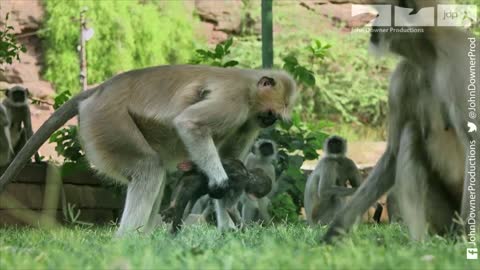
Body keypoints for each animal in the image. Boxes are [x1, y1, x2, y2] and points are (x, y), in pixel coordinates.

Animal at [0, 65, 296, 234]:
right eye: (274, 112)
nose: (270, 121)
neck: (249, 87)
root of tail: (98, 91)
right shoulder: (235, 100)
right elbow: (190, 124)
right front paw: (220, 183)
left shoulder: (249, 118)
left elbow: (230, 163)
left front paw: (227, 228)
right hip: (108, 121)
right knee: (149, 168)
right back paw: (130, 240)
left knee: (156, 173)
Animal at [324, 0, 478, 243]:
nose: (374, 22)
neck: (430, 58)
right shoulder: (401, 77)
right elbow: (393, 154)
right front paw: (336, 229)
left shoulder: (460, 63)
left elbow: (476, 146)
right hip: (442, 218)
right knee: (411, 133)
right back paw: (420, 245)